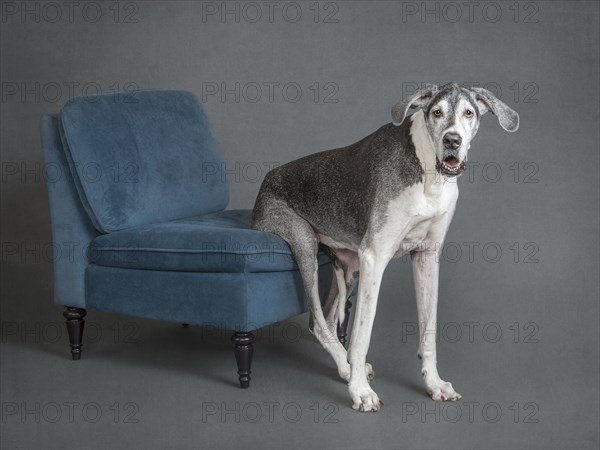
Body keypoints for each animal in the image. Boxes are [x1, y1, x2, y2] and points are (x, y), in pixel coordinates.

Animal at [251, 82, 516, 414]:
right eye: (436, 112)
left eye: (469, 112)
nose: (452, 140)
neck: (427, 172)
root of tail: (265, 182)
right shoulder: (374, 257)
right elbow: (361, 334)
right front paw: (360, 392)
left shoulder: (427, 257)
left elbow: (429, 331)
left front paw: (434, 384)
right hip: (303, 243)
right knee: (320, 322)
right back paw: (348, 369)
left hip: (349, 267)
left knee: (325, 319)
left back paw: (346, 366)